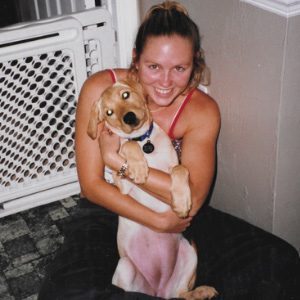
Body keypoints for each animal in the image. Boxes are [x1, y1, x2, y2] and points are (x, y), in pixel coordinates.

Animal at [88, 78, 217, 298]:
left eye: (125, 94)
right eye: (109, 113)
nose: (129, 117)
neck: (144, 142)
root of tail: (159, 291)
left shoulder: (173, 166)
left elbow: (181, 169)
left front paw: (182, 202)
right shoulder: (122, 184)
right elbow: (128, 146)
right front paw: (138, 167)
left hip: (190, 252)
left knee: (182, 294)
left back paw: (203, 291)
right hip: (125, 266)